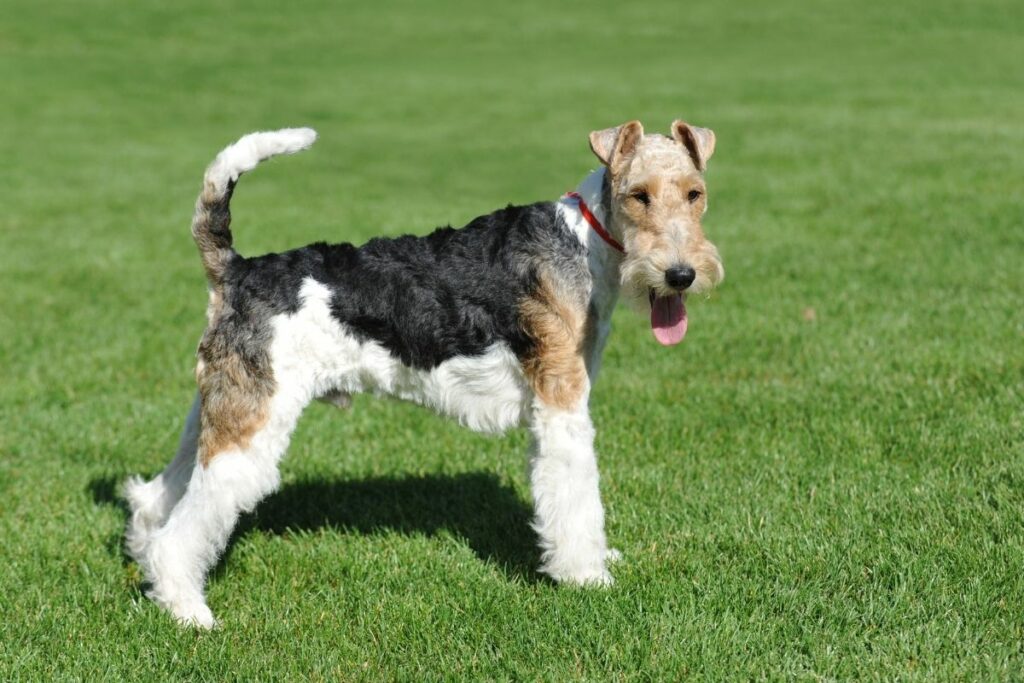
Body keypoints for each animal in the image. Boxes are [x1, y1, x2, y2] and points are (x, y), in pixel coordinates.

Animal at [123, 120, 724, 626]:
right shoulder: (562, 402)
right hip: (251, 424)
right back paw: (191, 613)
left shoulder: (550, 405)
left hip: (219, 408)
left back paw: (152, 575)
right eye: (638, 194)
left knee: (158, 498)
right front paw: (587, 577)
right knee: (183, 530)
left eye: (695, 193)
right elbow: (577, 496)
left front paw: (598, 560)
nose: (681, 275)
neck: (583, 243)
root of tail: (236, 269)